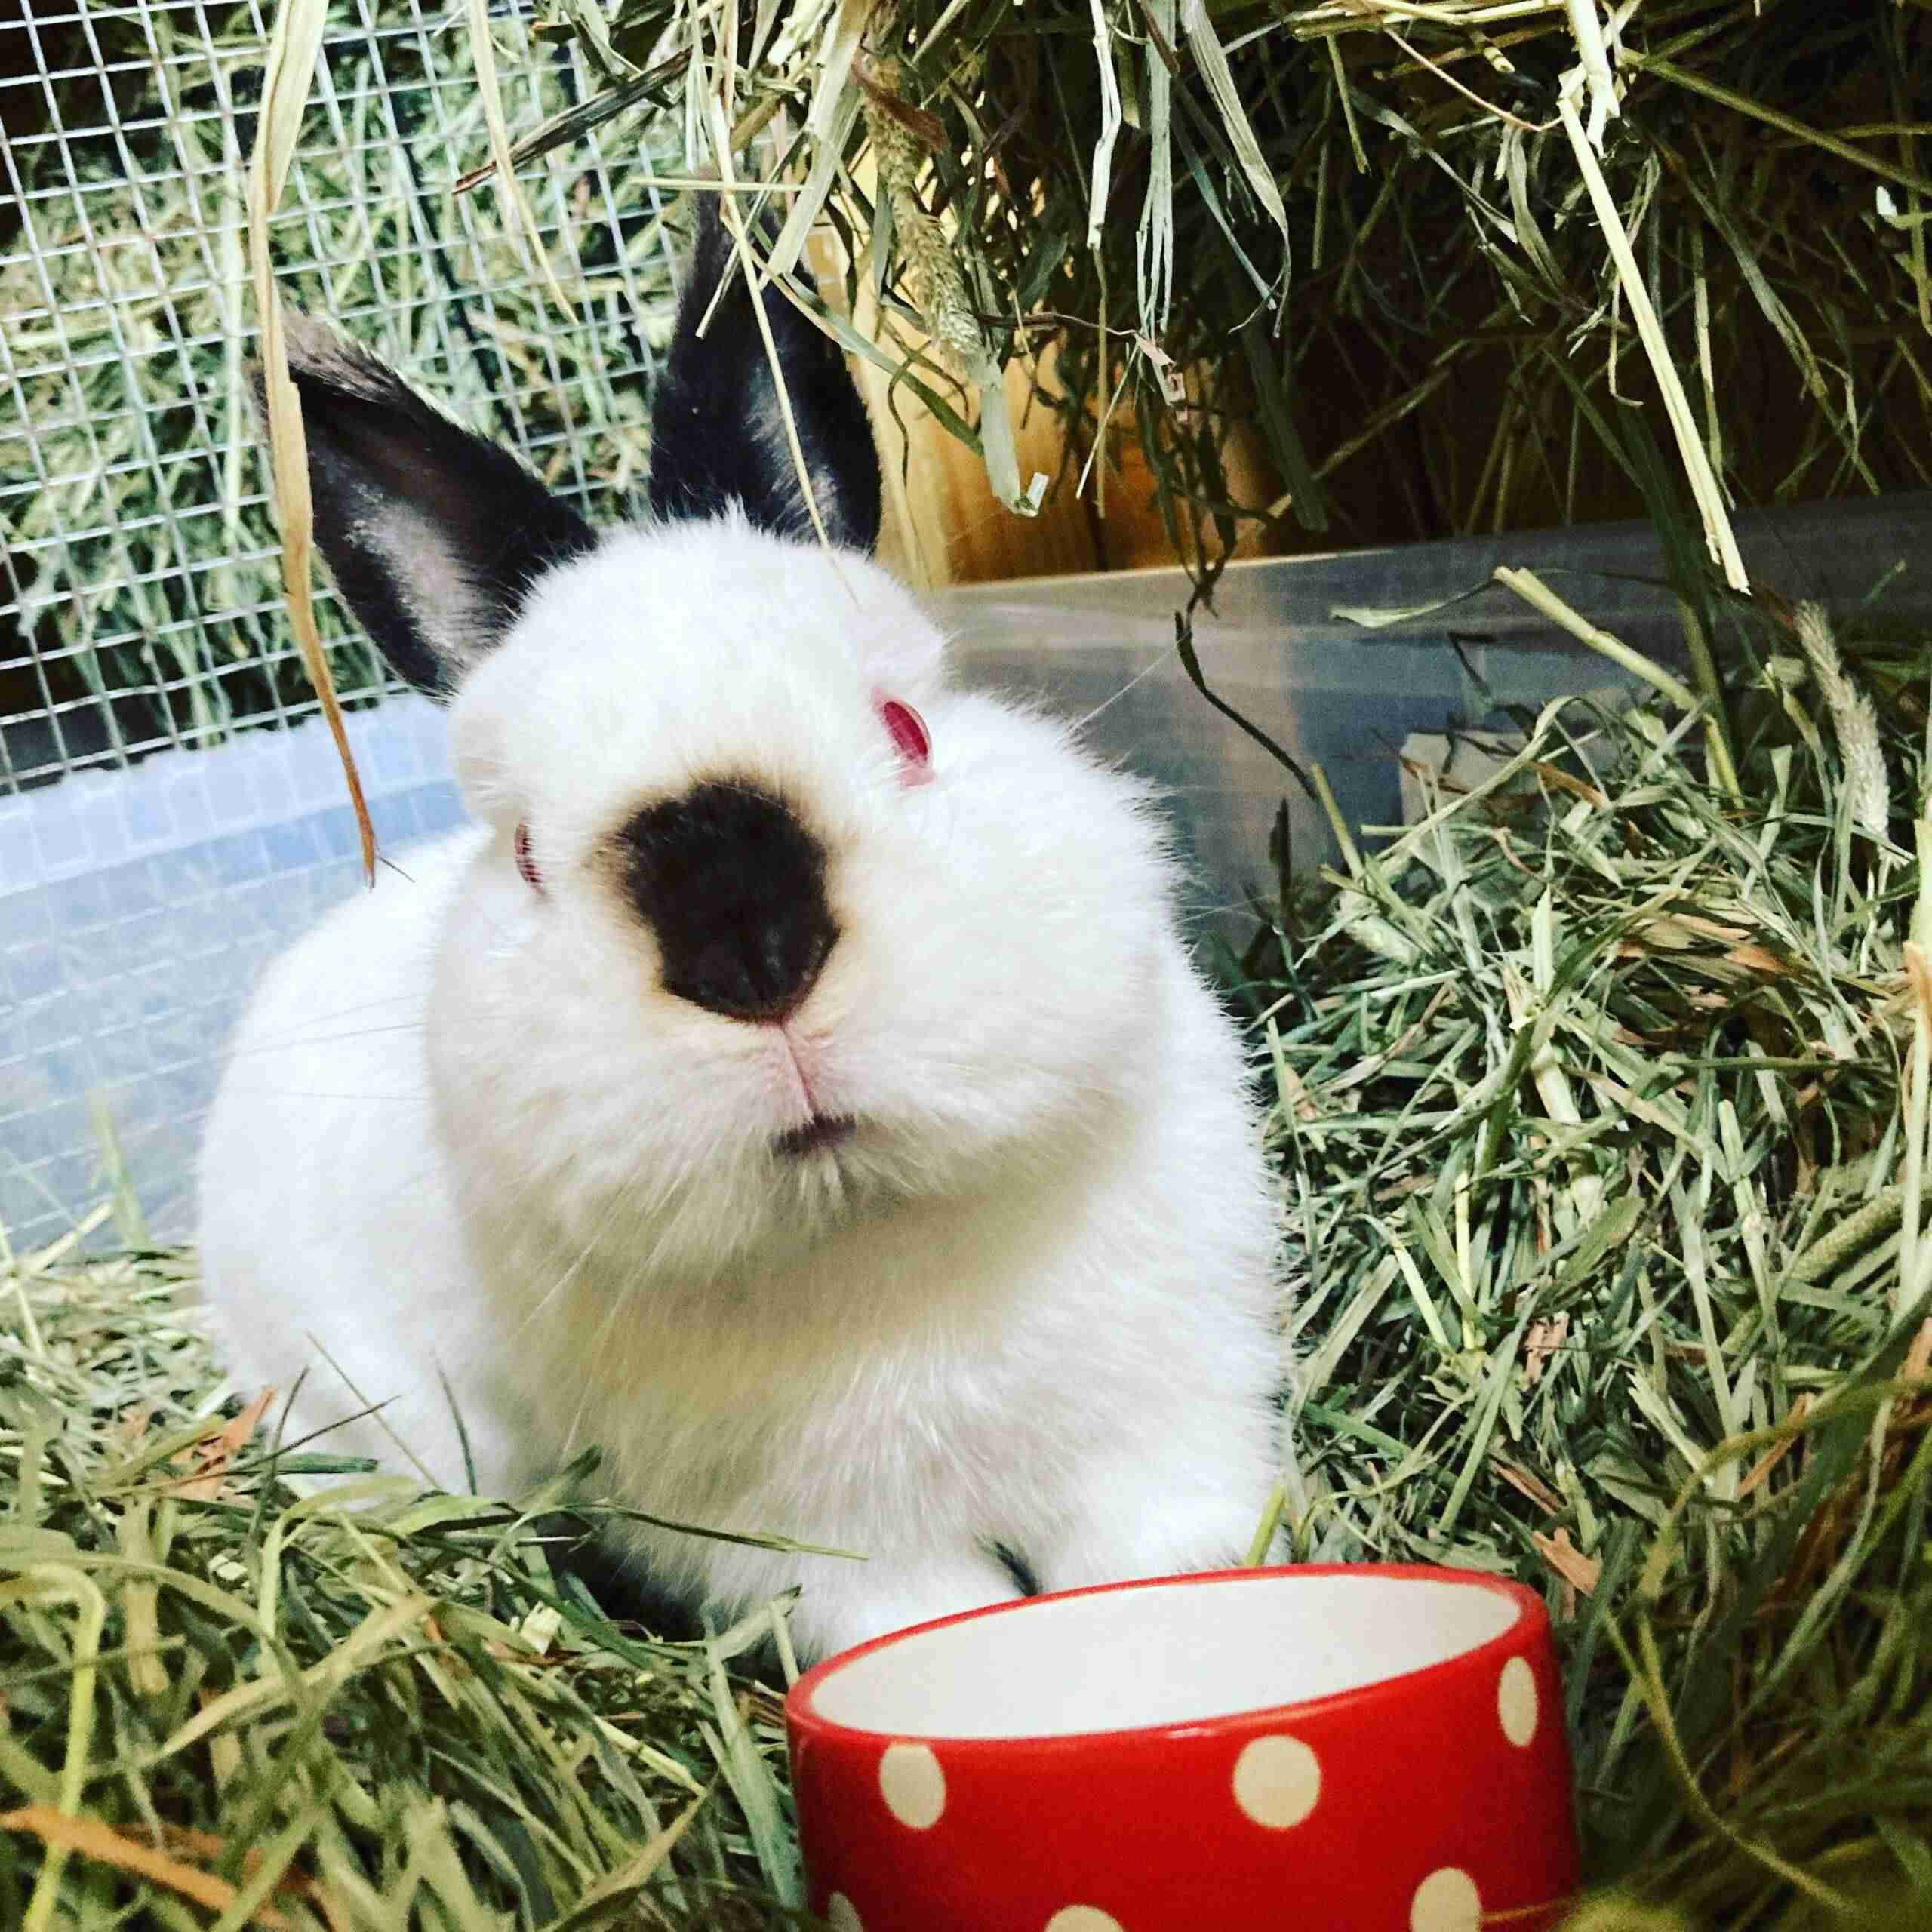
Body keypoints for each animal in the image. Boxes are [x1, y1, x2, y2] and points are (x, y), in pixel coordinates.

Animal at [196, 199, 1286, 1664]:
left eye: (907, 727)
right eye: (525, 851)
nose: (749, 946)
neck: (874, 1244)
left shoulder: (1170, 1424)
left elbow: (1166, 1561)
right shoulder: (823, 1553)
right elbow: (921, 1622)